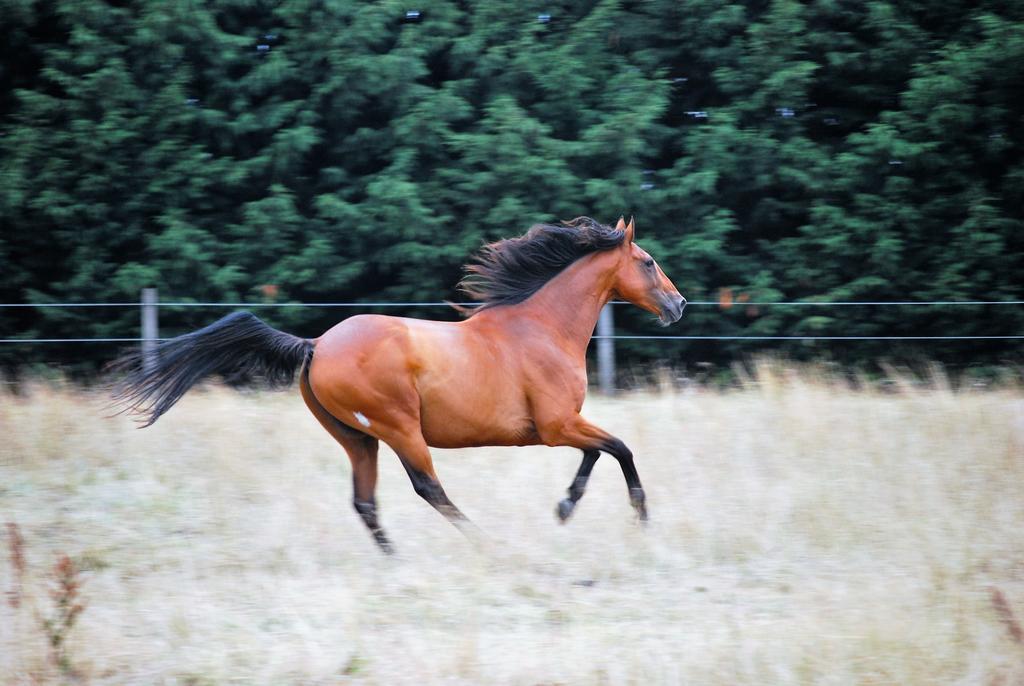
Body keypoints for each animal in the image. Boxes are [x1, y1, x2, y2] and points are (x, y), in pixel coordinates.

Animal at [112, 218, 684, 556]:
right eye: (648, 261)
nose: (678, 306)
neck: (540, 327)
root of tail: (316, 344)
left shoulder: (560, 426)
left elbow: (600, 452)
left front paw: (566, 507)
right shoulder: (556, 425)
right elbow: (618, 449)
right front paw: (635, 518)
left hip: (357, 437)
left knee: (365, 502)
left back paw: (395, 560)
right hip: (400, 427)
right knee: (429, 488)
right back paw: (487, 545)